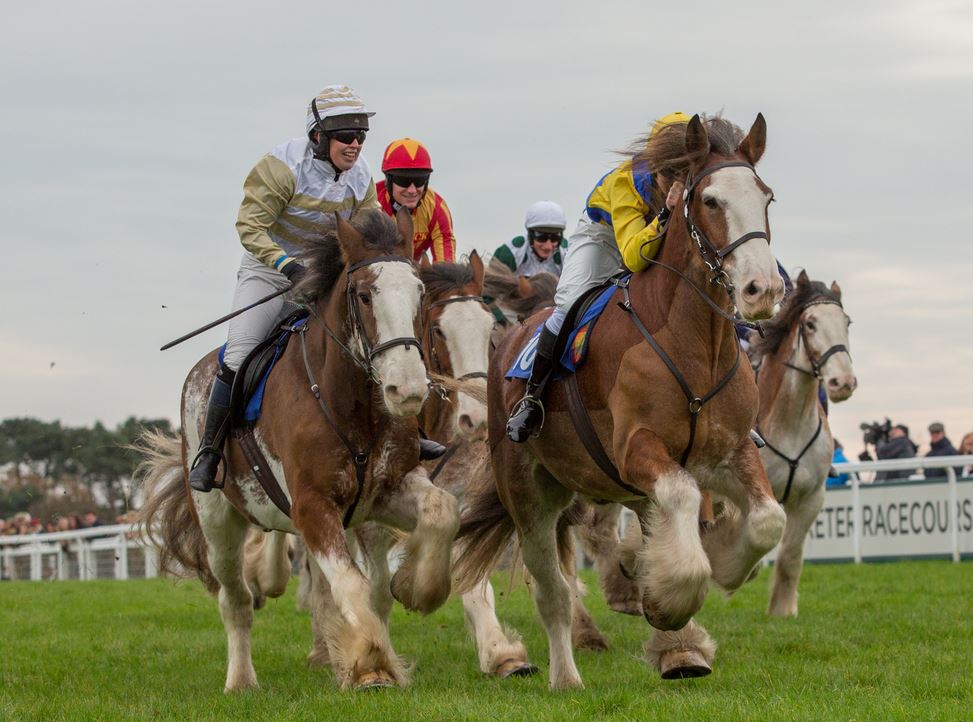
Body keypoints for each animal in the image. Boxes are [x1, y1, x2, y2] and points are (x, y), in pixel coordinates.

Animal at [134, 210, 464, 692]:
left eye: (420, 292)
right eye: (364, 295)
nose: (407, 389)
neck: (350, 403)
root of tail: (198, 370)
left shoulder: (384, 493)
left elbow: (443, 512)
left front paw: (417, 589)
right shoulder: (312, 506)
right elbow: (352, 585)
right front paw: (370, 665)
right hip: (217, 521)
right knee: (236, 599)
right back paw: (241, 681)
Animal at [456, 114, 788, 688]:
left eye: (766, 197)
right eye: (710, 200)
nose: (761, 290)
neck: (692, 342)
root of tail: (507, 345)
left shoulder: (726, 451)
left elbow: (769, 519)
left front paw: (722, 564)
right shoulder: (638, 450)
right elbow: (681, 497)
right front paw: (671, 598)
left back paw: (671, 638)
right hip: (529, 493)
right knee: (553, 592)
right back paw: (565, 676)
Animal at [748, 270, 856, 612]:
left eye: (847, 322)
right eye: (810, 324)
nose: (842, 382)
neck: (789, 424)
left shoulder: (810, 499)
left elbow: (790, 558)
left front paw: (782, 610)